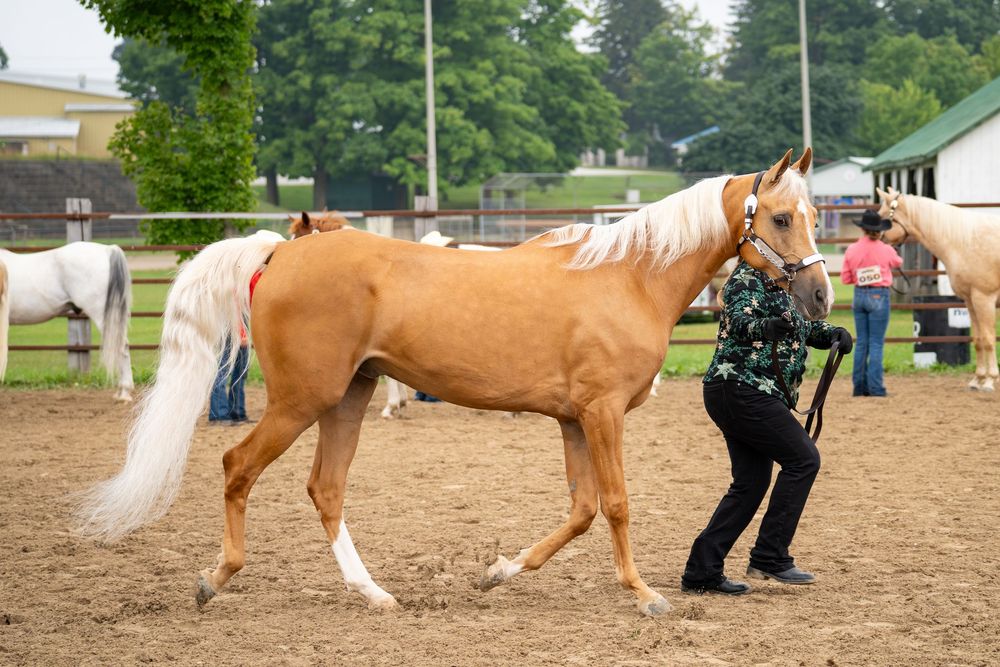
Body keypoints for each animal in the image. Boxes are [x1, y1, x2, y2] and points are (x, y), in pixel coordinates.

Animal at [75, 149, 831, 617]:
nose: (822, 296)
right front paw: (645, 594)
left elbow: (582, 509)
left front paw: (496, 572)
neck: (627, 275)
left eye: (817, 217)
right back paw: (215, 578)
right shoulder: (603, 412)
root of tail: (282, 250)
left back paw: (375, 594)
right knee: (238, 466)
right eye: (780, 217)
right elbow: (615, 504)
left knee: (325, 488)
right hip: (302, 400)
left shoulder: (573, 418)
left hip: (346, 399)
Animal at [877, 187, 1000, 390]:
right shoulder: (970, 300)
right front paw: (977, 379)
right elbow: (978, 339)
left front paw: (990, 381)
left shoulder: (984, 299)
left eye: (884, 216)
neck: (964, 242)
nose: (875, 241)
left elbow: (989, 339)